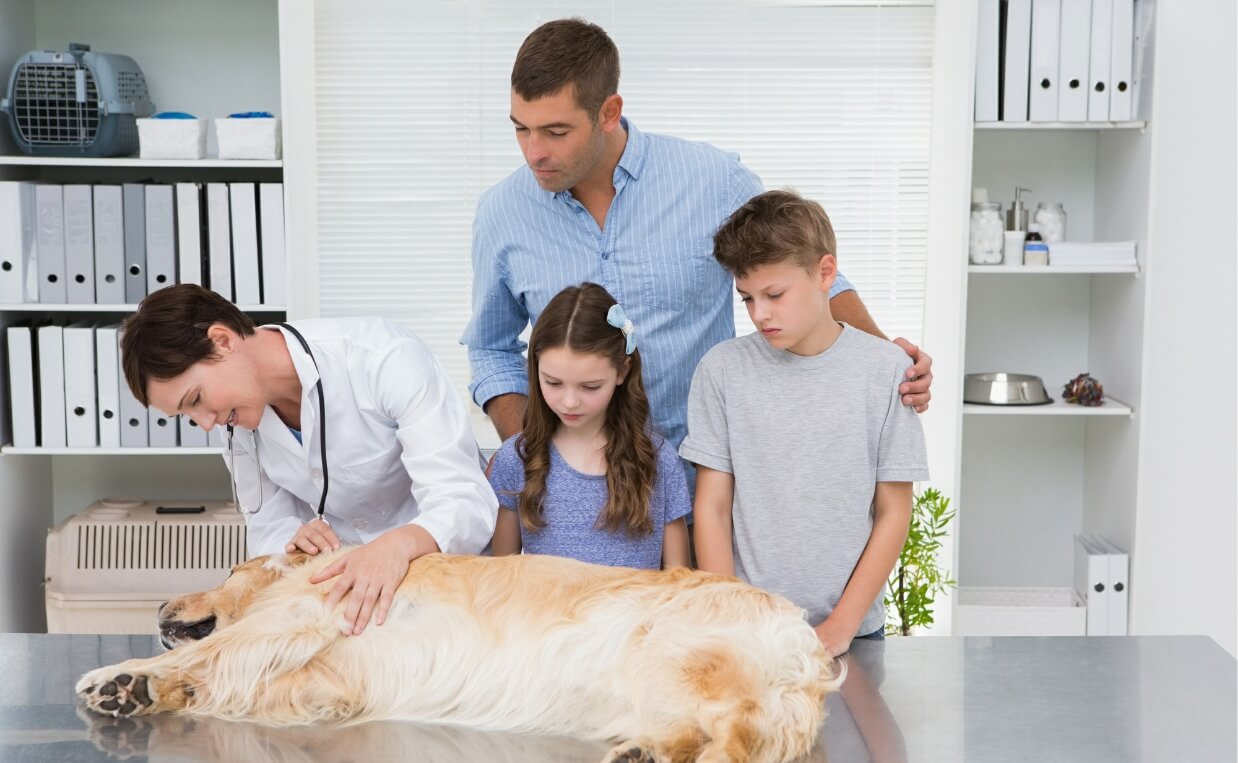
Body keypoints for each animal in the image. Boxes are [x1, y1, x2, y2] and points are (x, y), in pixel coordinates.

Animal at [77, 552, 846, 758]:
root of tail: (807, 652)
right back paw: (645, 753)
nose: (157, 606)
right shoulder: (324, 685)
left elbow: (213, 649)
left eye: (227, 568)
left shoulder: (303, 610)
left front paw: (119, 677)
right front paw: (142, 689)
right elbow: (220, 677)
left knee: (740, 735)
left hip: (674, 648)